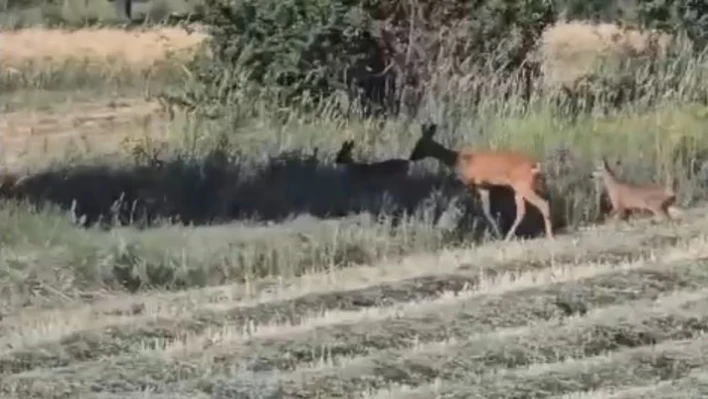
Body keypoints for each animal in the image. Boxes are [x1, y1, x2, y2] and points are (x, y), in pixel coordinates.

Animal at [406, 123, 552, 241]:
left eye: (419, 144)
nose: (411, 157)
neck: (456, 160)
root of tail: (535, 165)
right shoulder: (484, 186)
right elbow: (487, 211)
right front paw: (497, 234)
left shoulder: (472, 183)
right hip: (520, 188)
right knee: (523, 211)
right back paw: (508, 237)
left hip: (523, 185)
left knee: (542, 204)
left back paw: (549, 236)